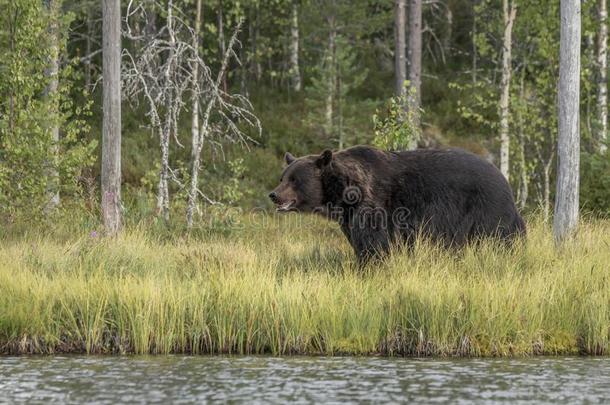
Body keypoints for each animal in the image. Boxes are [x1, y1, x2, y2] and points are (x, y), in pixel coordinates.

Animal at [268, 144, 524, 262]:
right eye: (282, 177)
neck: (344, 192)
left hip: (486, 210)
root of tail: (505, 181)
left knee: (495, 240)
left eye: (295, 179)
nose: (273, 194)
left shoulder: (374, 207)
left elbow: (374, 244)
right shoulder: (349, 217)